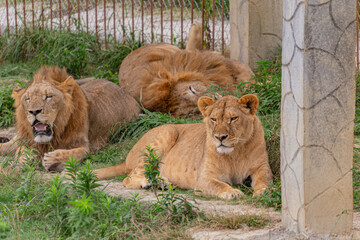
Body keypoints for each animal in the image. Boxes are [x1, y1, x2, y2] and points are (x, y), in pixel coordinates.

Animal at [0, 65, 141, 171]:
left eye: (48, 96)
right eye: (28, 99)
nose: (34, 111)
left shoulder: (85, 146)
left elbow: (73, 153)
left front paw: (51, 159)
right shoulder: (26, 140)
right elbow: (23, 151)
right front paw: (23, 160)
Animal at [94, 94, 272, 200]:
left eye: (233, 118)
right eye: (213, 119)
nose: (220, 138)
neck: (235, 152)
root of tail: (126, 159)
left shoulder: (262, 168)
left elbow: (264, 180)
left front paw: (263, 192)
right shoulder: (204, 178)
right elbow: (219, 185)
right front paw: (233, 192)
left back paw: (162, 183)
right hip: (167, 132)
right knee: (129, 177)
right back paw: (147, 183)